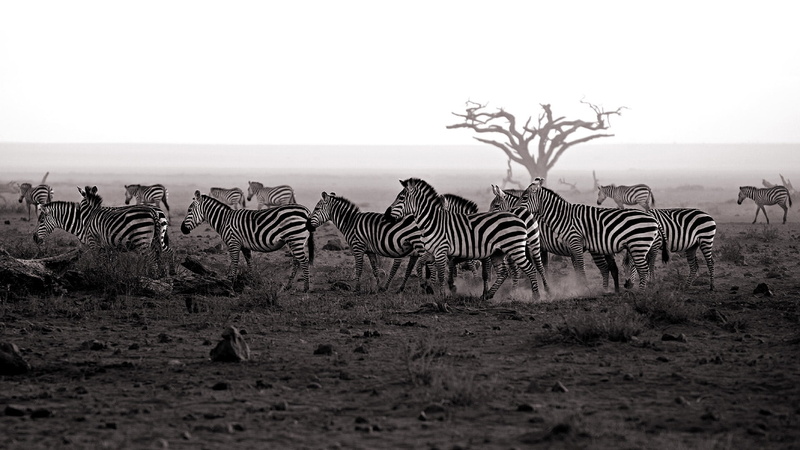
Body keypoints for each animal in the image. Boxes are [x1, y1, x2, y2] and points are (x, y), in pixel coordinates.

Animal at [180, 191, 314, 291]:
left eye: (189, 210)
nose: (182, 229)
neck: (224, 220)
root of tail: (306, 211)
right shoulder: (244, 246)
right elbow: (249, 263)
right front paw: (254, 281)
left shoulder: (233, 242)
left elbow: (234, 263)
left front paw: (230, 284)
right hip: (294, 240)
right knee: (296, 261)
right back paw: (288, 286)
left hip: (295, 238)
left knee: (304, 260)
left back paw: (306, 288)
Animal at [385, 178, 541, 300]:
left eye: (401, 198)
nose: (386, 214)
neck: (433, 221)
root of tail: (518, 217)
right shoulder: (433, 251)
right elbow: (421, 265)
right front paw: (428, 286)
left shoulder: (442, 250)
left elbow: (442, 273)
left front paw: (442, 294)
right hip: (499, 252)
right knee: (504, 273)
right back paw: (488, 295)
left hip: (515, 249)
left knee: (530, 269)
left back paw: (536, 296)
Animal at [490, 185, 619, 292]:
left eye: (496, 206)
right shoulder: (542, 247)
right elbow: (543, 266)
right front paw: (544, 285)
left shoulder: (533, 246)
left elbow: (536, 265)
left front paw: (535, 286)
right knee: (613, 268)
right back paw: (615, 290)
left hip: (596, 249)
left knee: (604, 268)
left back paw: (604, 290)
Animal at [516, 181, 666, 290]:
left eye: (524, 197)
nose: (515, 212)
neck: (565, 217)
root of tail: (654, 218)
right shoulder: (571, 246)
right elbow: (576, 268)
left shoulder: (575, 242)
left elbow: (581, 267)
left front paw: (584, 288)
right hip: (638, 246)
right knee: (642, 267)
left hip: (639, 244)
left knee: (644, 268)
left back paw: (641, 293)